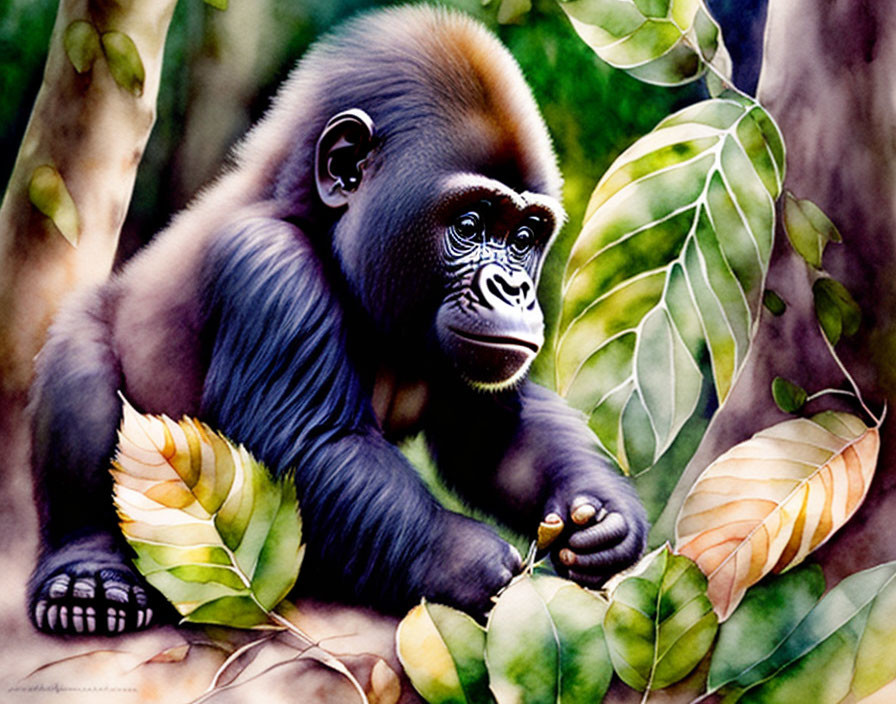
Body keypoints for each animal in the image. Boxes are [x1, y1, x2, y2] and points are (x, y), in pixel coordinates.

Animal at [26, 5, 644, 636]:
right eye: (469, 226)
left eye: (523, 238)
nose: (514, 290)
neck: (312, 212)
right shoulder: (271, 265)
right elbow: (310, 447)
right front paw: (462, 557)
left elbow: (495, 437)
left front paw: (602, 515)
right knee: (83, 368)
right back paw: (87, 572)